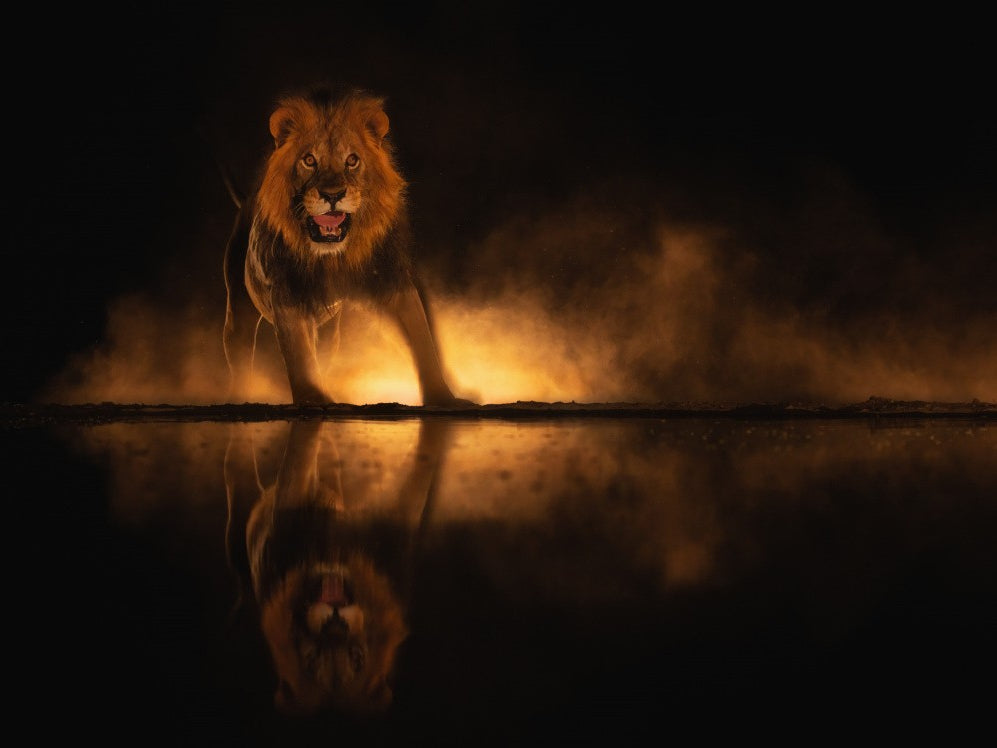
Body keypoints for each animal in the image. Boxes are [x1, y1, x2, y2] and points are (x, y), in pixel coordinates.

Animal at [223, 86, 465, 405]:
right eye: (309, 160)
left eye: (352, 160)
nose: (333, 195)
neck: (331, 257)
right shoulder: (287, 294)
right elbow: (298, 356)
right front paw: (314, 400)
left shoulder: (393, 281)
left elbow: (422, 339)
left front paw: (443, 397)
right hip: (239, 308)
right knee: (239, 351)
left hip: (329, 331)